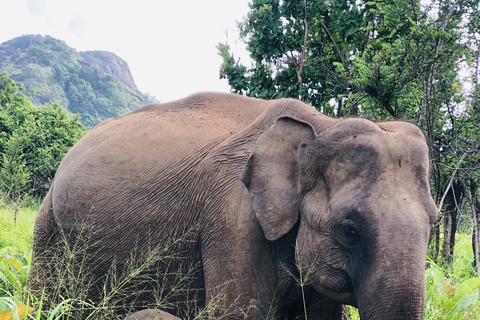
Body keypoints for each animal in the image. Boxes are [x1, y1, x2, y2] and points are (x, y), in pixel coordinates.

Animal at [28, 91, 436, 318]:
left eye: (432, 225)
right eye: (348, 231)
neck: (323, 123)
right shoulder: (233, 219)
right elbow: (238, 314)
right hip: (48, 227)